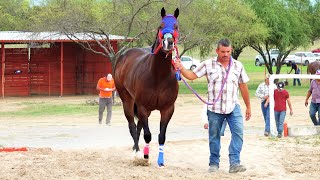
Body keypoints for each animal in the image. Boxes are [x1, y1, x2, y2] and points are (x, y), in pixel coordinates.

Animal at [114, 7, 180, 167]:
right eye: (161, 25)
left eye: (176, 26)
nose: (168, 42)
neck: (159, 76)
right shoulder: (143, 107)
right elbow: (148, 135)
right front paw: (144, 157)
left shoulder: (168, 109)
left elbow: (161, 136)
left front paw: (160, 161)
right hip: (128, 101)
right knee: (132, 126)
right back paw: (136, 152)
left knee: (138, 127)